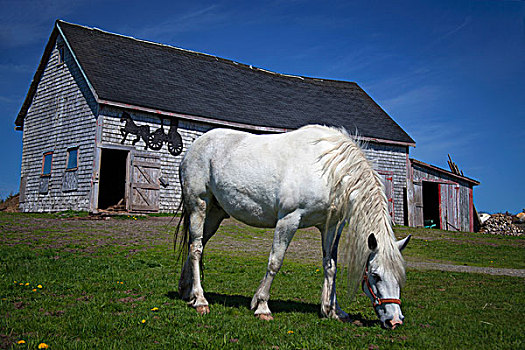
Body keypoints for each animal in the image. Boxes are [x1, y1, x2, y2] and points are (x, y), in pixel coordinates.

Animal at [176, 125, 410, 328]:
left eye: (400, 277)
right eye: (375, 275)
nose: (395, 321)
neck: (328, 170)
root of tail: (194, 146)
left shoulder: (330, 226)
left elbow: (330, 265)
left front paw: (333, 310)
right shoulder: (289, 220)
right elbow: (275, 262)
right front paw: (262, 306)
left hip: (215, 214)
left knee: (197, 244)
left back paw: (187, 291)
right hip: (198, 205)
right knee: (196, 249)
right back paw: (200, 301)